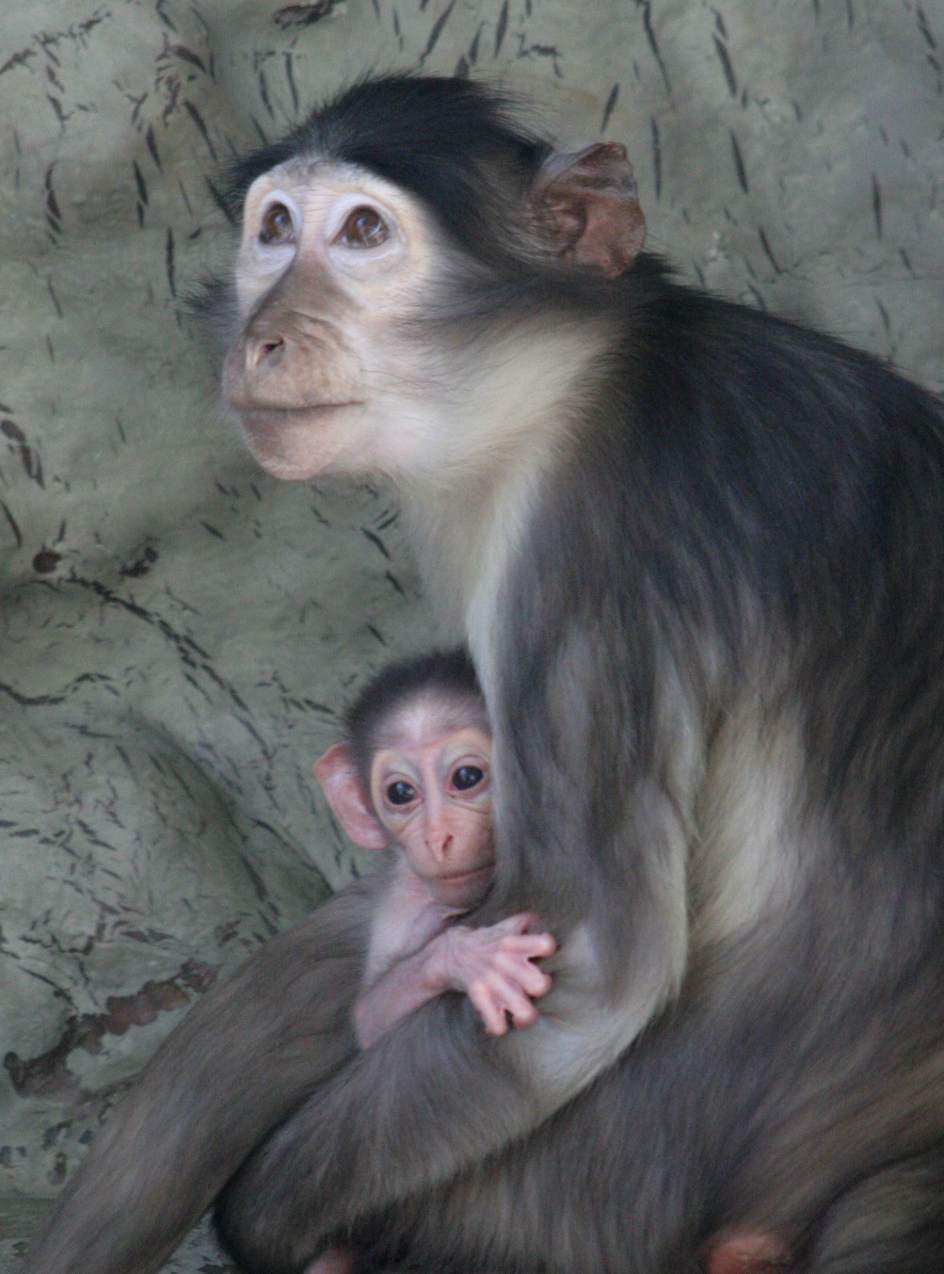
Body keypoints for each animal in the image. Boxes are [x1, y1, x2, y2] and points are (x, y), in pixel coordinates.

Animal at [25, 77, 942, 1274]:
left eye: (363, 233)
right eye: (275, 227)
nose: (265, 336)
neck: (571, 385)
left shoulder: (596, 538)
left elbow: (589, 966)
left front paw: (262, 1217)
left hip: (582, 1202)